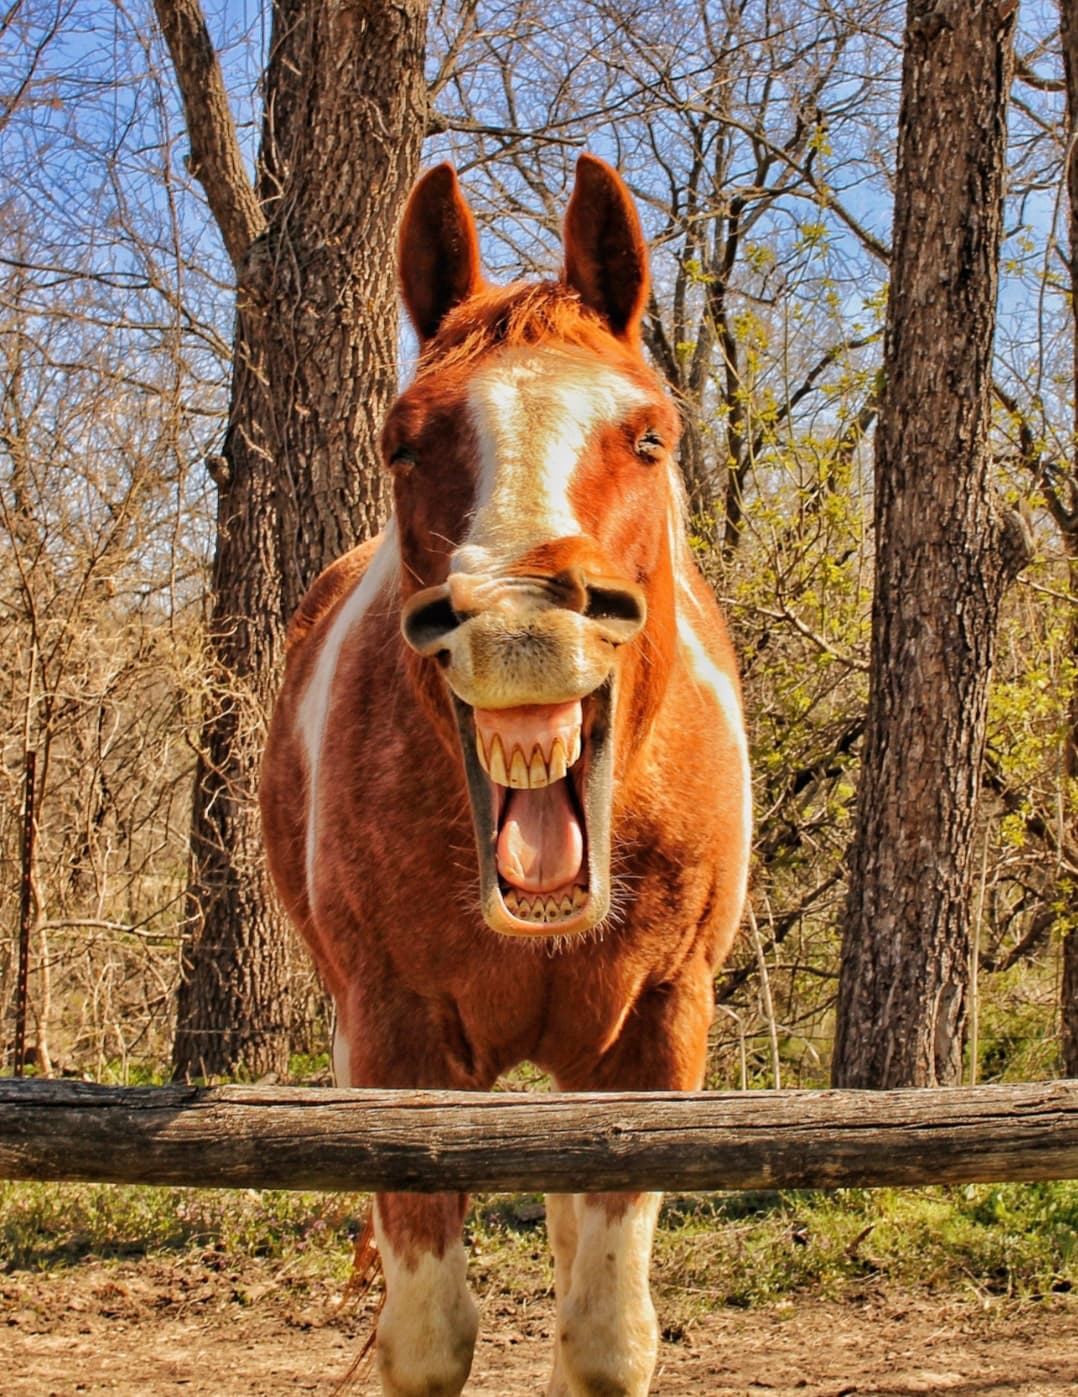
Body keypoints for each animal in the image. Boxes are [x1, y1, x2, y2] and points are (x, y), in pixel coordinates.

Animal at [260, 154, 751, 1397]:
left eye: (649, 435)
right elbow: (427, 1335)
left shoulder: (651, 1043)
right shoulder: (395, 1048)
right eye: (402, 441)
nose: (520, 622)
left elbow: (606, 1334)